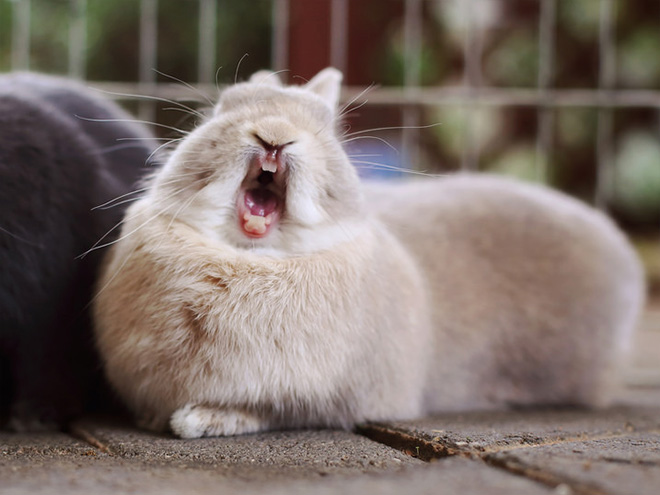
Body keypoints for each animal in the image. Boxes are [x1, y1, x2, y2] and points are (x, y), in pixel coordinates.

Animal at [93, 68, 644, 440]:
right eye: (224, 108)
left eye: (324, 125)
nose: (274, 134)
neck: (251, 259)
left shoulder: (326, 399)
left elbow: (269, 410)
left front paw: (198, 419)